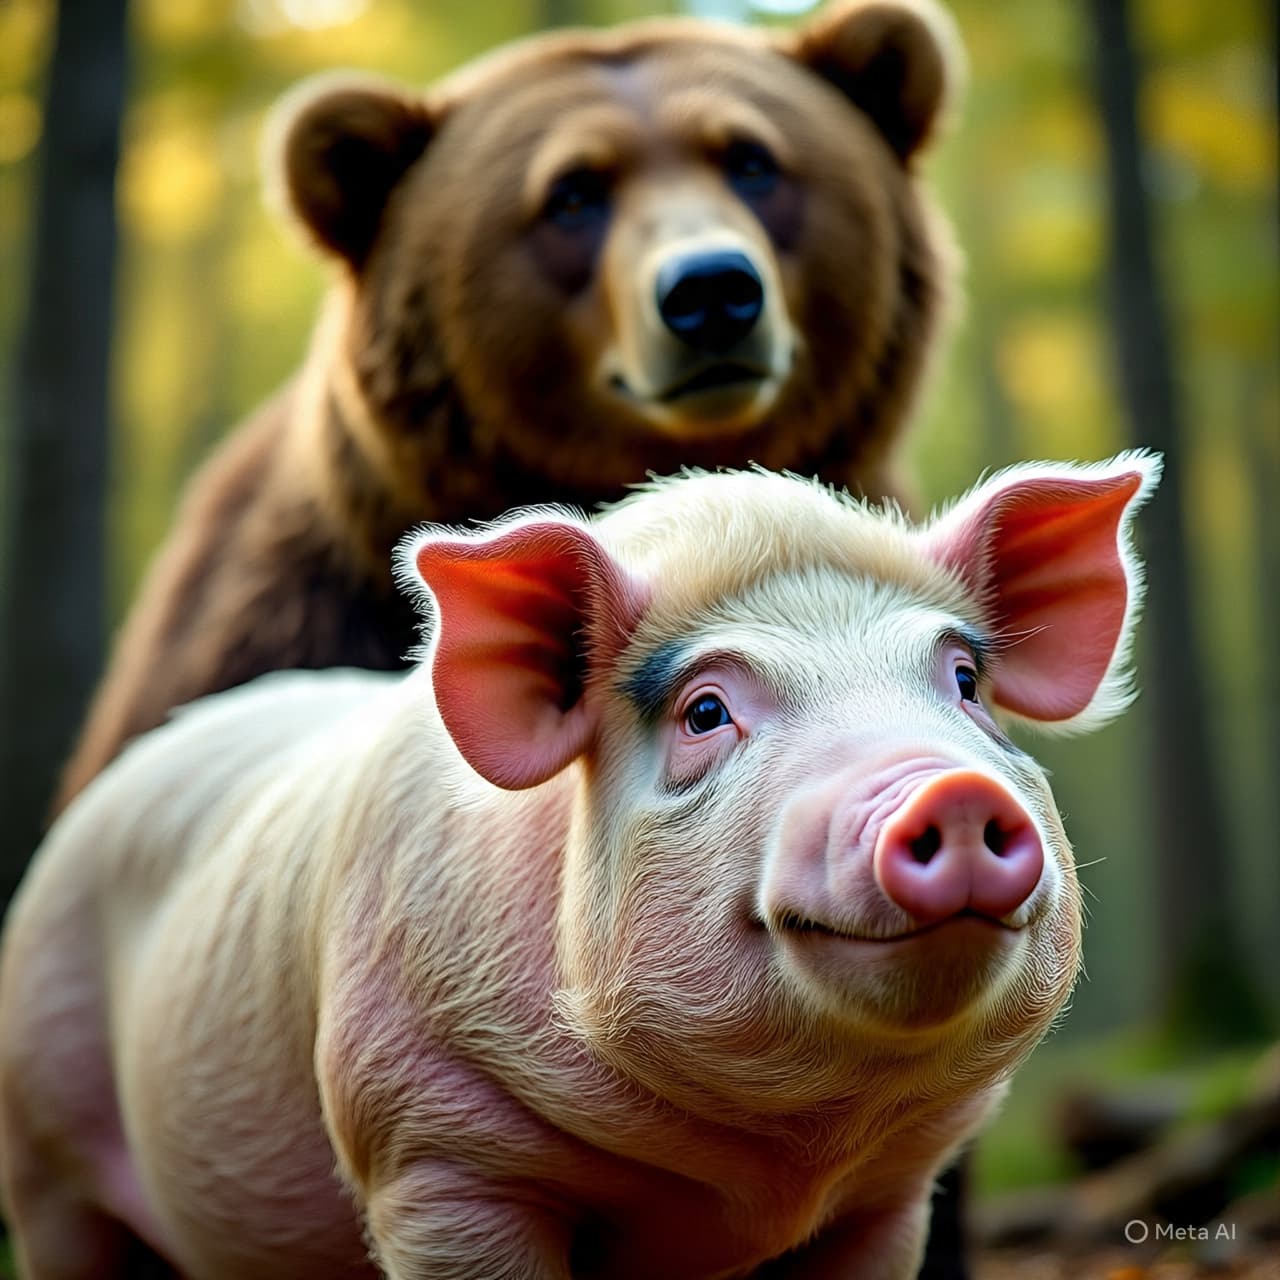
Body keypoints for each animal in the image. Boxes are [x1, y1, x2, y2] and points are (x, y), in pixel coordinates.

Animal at [0, 453, 1160, 1280]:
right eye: (705, 711)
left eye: (961, 681)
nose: (949, 791)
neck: (769, 1167)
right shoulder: (427, 1153)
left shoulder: (889, 1198)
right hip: (45, 1154)